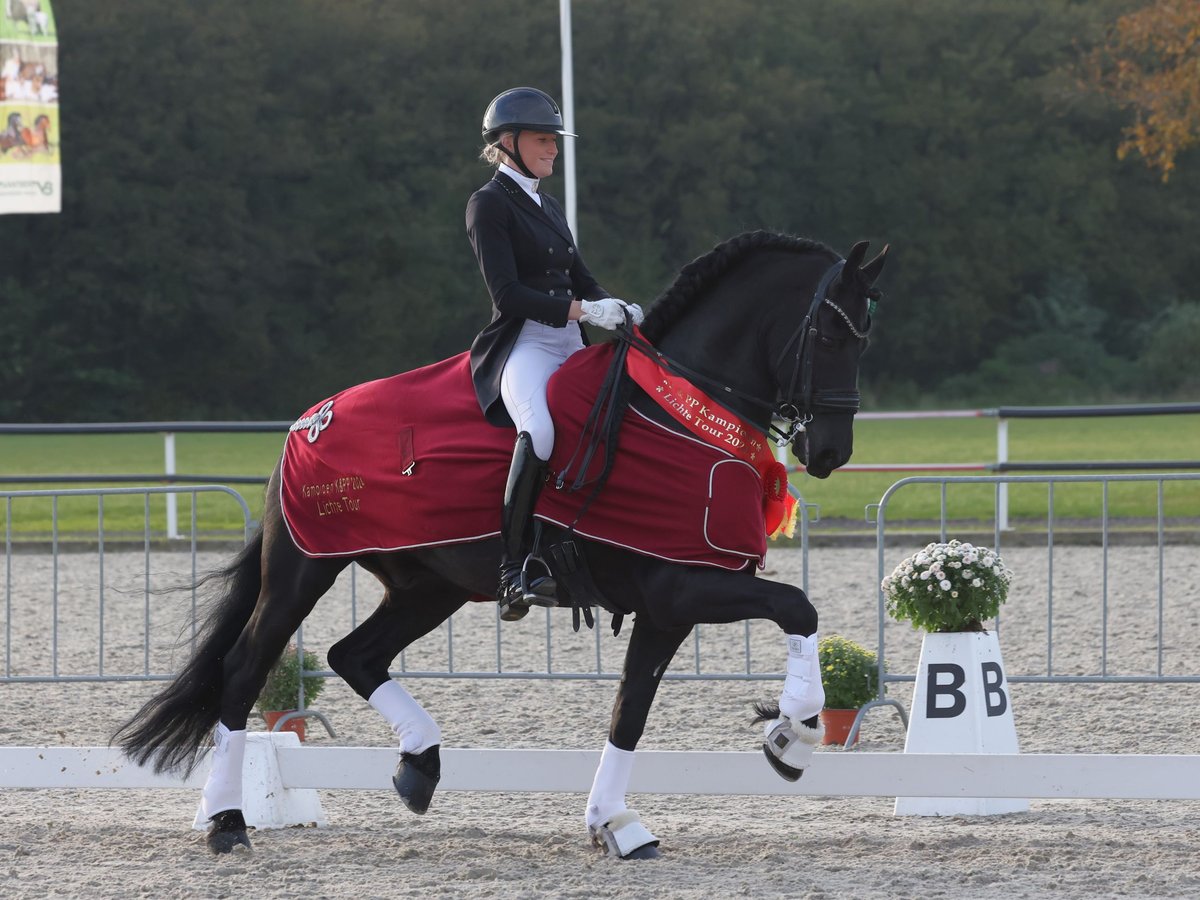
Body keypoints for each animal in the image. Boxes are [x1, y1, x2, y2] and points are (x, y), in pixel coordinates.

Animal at [114, 230, 883, 859]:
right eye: (831, 334)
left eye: (864, 336)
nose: (830, 452)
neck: (682, 413)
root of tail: (308, 420)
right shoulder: (686, 587)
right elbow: (798, 607)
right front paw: (792, 734)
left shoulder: (668, 606)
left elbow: (629, 710)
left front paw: (614, 823)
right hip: (303, 570)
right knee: (245, 670)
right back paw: (228, 823)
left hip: (430, 585)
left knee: (353, 655)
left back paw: (419, 765)